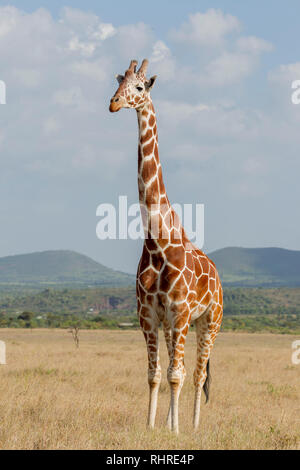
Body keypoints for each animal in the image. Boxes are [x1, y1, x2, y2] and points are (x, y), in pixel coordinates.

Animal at [110, 57, 223, 434]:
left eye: (139, 87)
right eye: (118, 83)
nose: (114, 103)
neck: (156, 241)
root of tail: (218, 278)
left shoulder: (180, 312)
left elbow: (176, 375)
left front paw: (175, 432)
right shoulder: (149, 315)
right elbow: (155, 375)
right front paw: (152, 426)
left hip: (209, 322)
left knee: (197, 374)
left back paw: (193, 427)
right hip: (180, 326)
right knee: (184, 370)